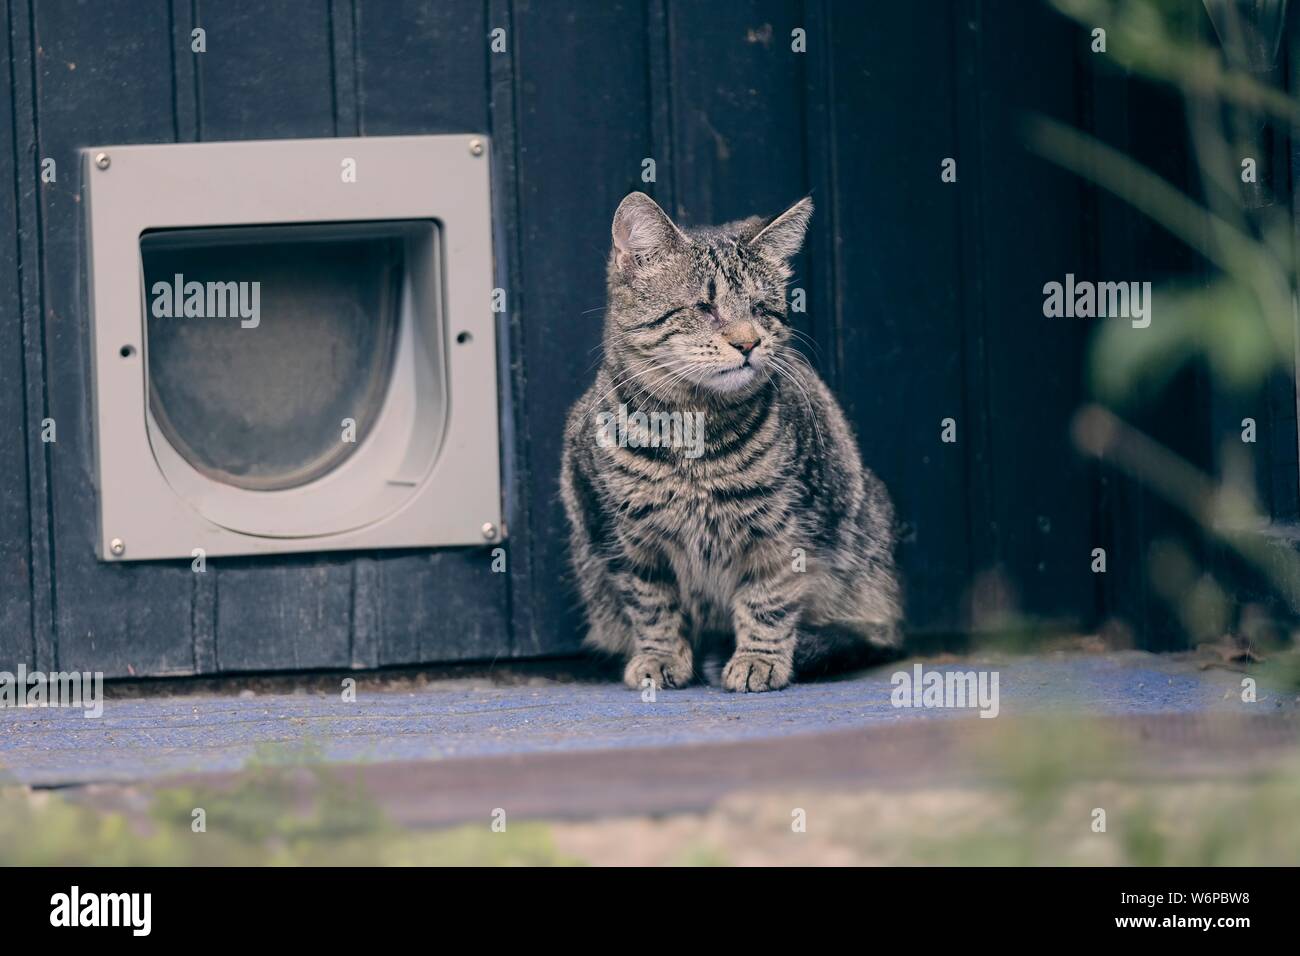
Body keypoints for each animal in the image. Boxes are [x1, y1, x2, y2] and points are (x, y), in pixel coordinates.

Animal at [559, 192, 904, 697]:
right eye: (705, 308)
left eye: (760, 309)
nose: (748, 343)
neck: (692, 434)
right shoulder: (625, 542)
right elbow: (652, 606)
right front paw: (661, 657)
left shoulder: (781, 533)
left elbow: (767, 600)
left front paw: (758, 659)